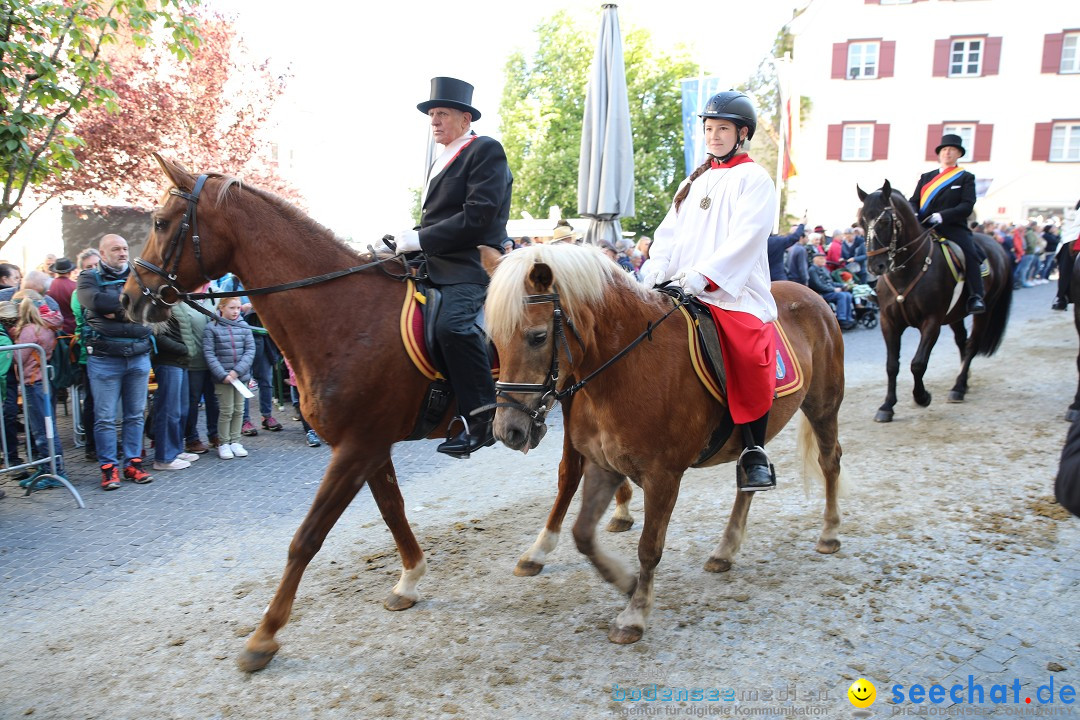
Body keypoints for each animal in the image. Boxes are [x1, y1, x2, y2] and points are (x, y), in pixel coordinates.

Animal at [486, 241, 846, 643]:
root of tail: (809, 293)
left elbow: (649, 547)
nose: (508, 430)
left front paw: (635, 613)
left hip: (823, 406)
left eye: (537, 336)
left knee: (829, 462)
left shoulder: (663, 477)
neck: (627, 366)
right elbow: (582, 533)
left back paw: (829, 532)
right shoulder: (603, 465)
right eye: (493, 340)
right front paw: (625, 581)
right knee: (747, 484)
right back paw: (725, 550)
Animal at [851, 180, 1010, 425]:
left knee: (972, 344)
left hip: (983, 311)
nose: (875, 266)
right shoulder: (889, 322)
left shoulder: (932, 322)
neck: (907, 270)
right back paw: (964, 379)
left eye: (885, 221)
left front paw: (922, 396)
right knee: (962, 341)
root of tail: (995, 245)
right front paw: (887, 406)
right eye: (861, 222)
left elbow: (918, 363)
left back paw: (959, 387)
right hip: (955, 315)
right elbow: (891, 365)